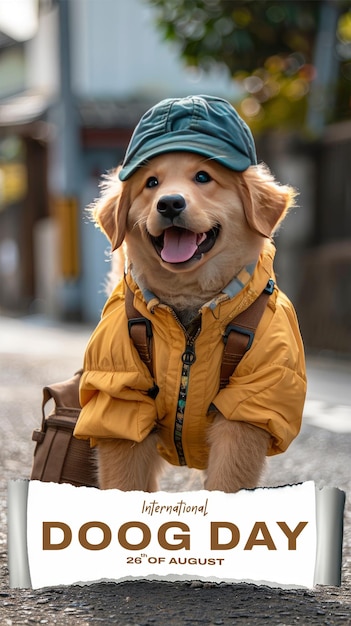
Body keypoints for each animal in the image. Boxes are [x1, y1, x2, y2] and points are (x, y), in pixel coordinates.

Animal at [75, 95, 308, 490]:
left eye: (203, 177)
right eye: (151, 183)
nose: (169, 203)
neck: (190, 310)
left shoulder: (251, 404)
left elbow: (228, 479)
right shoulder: (118, 396)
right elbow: (124, 476)